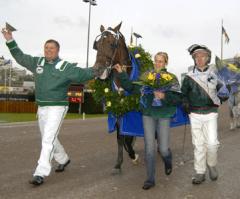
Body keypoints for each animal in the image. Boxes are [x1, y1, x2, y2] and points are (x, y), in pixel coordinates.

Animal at [93, 22, 139, 174]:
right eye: (96, 45)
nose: (97, 70)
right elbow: (121, 137)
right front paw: (119, 163)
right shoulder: (118, 108)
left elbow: (129, 136)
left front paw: (134, 155)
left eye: (112, 44)